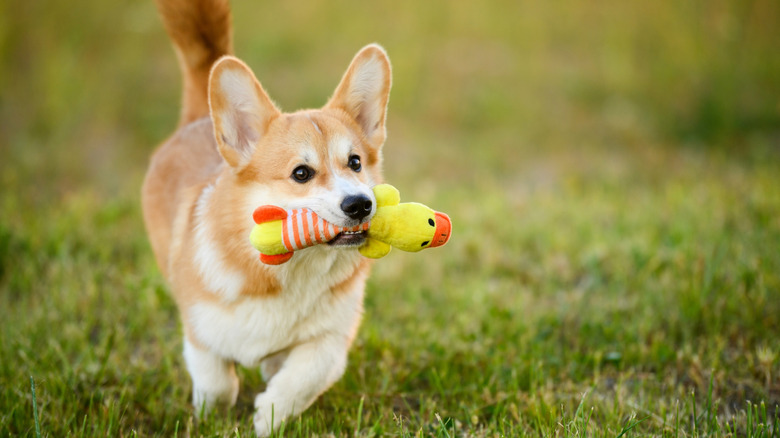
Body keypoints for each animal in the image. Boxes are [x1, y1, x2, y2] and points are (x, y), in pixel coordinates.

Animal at [142, 0, 390, 432]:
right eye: (301, 174)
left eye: (356, 163)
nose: (360, 204)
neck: (293, 268)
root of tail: (197, 119)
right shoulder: (199, 330)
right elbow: (217, 383)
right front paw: (210, 418)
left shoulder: (332, 337)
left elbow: (305, 376)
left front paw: (269, 415)